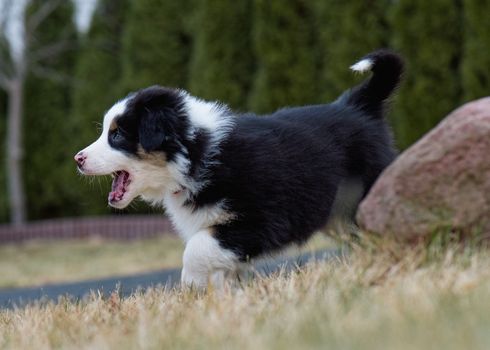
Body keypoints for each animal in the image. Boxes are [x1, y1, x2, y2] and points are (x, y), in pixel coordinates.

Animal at [75, 50, 402, 290]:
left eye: (117, 135)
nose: (78, 158)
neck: (197, 153)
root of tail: (357, 105)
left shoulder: (261, 219)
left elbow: (197, 247)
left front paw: (191, 285)